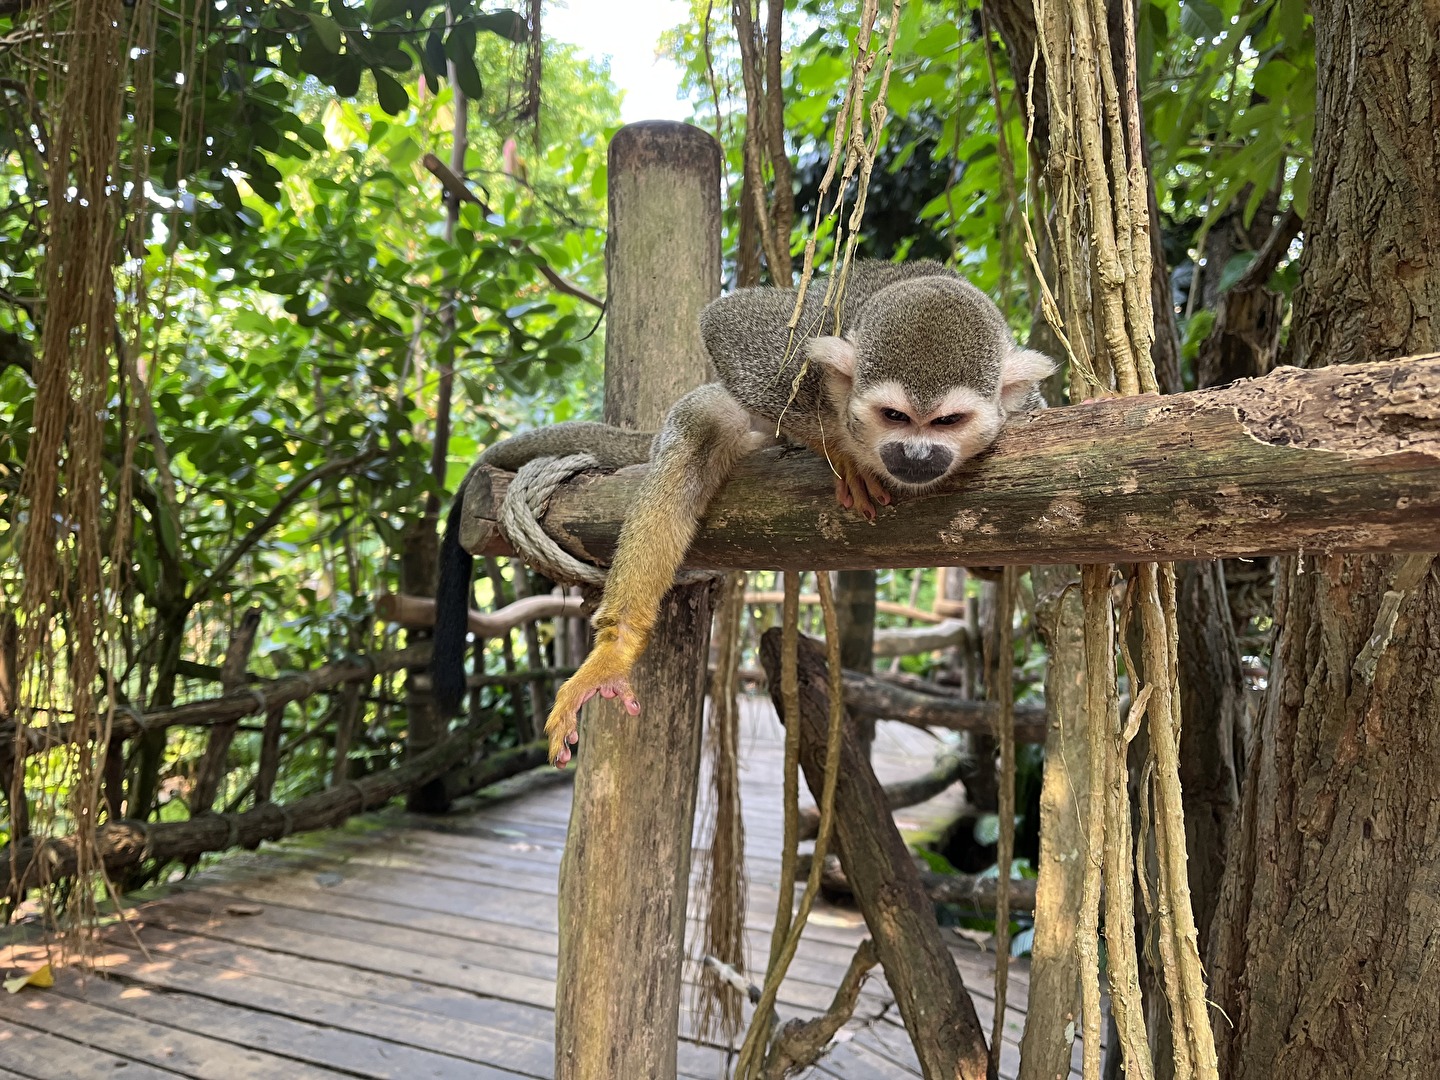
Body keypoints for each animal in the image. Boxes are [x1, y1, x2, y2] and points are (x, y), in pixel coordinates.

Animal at [432, 260, 1054, 766]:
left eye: (947, 422)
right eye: (895, 416)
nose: (917, 456)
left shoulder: (1028, 407)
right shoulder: (799, 358)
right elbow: (728, 322)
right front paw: (842, 455)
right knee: (701, 428)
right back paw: (617, 646)